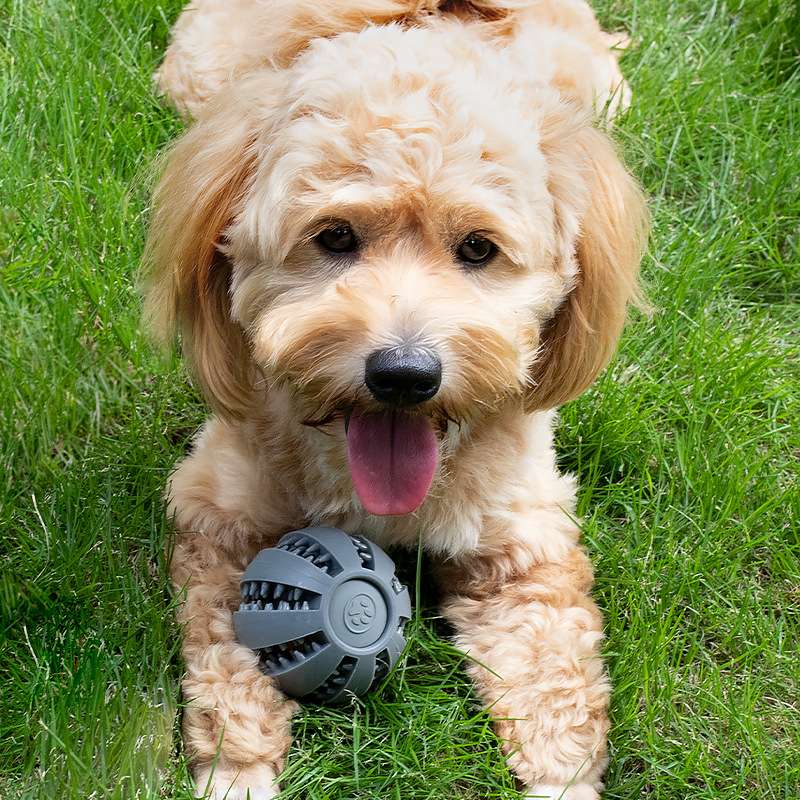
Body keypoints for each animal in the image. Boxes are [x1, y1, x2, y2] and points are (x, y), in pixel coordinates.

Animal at [142, 1, 644, 800]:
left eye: (478, 249)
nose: (404, 375)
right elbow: (227, 662)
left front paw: (562, 779)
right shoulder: (216, 520)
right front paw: (238, 770)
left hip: (598, 86)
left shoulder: (523, 546)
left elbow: (552, 671)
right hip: (196, 74)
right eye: (334, 236)